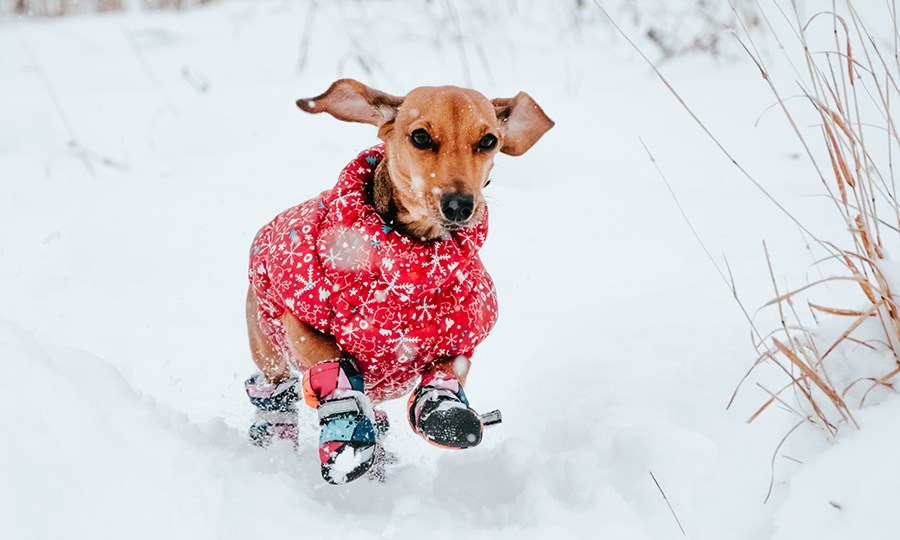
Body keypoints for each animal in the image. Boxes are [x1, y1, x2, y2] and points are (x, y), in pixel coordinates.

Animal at [246, 78, 556, 484]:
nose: (459, 205)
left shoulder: (462, 337)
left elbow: (447, 373)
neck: (409, 272)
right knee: (274, 395)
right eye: (420, 137)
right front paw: (347, 427)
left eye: (488, 140)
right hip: (268, 352)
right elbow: (331, 360)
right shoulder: (299, 321)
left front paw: (444, 412)